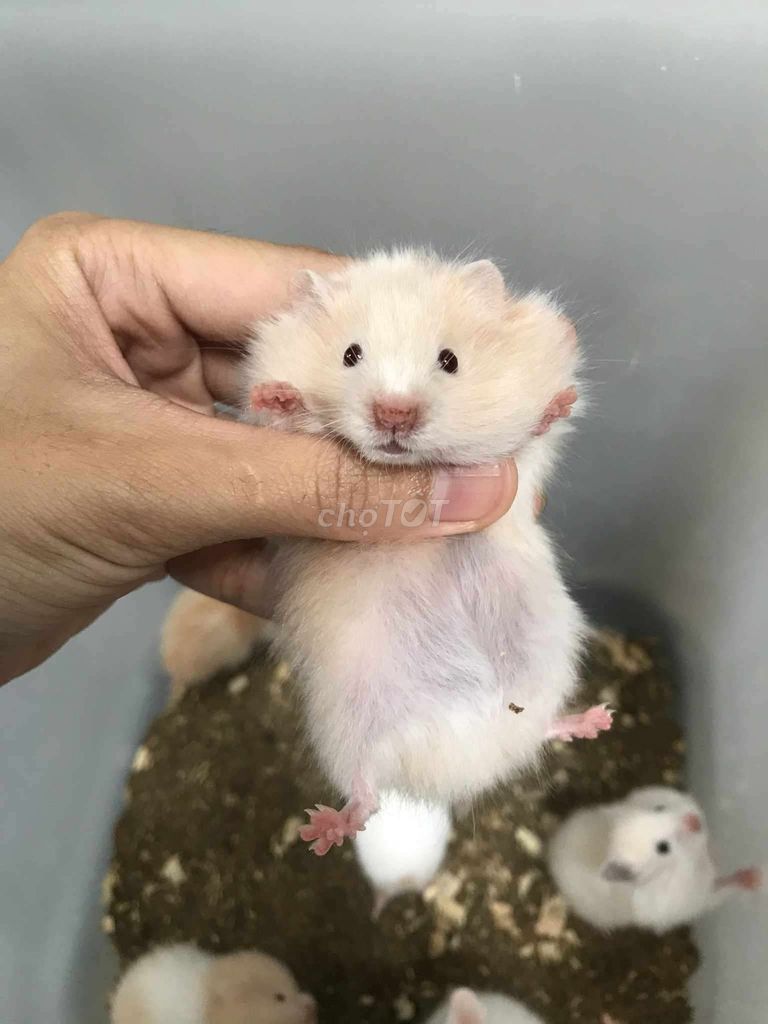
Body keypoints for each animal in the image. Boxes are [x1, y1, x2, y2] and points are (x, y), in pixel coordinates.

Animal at [240, 248, 611, 853]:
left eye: (449, 360)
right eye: (349, 354)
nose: (395, 415)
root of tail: (475, 760)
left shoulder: (525, 465)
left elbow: (532, 437)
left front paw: (560, 402)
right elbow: (282, 417)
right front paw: (280, 396)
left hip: (551, 661)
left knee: (543, 724)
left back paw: (595, 720)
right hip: (344, 717)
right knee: (364, 789)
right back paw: (323, 832)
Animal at [547, 785, 762, 932]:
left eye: (658, 808)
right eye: (663, 848)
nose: (694, 820)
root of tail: (552, 850)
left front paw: (716, 853)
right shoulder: (692, 901)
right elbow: (720, 891)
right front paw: (756, 877)